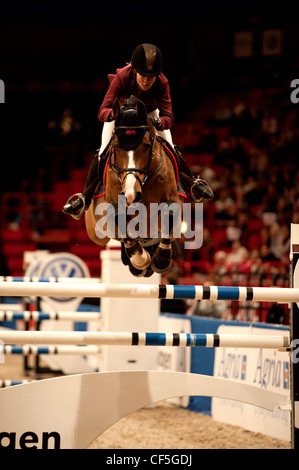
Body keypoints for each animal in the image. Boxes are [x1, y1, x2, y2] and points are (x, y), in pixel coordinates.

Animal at [85, 97, 185, 278]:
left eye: (146, 145)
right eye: (116, 146)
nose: (131, 195)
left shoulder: (175, 200)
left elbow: (171, 211)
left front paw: (161, 260)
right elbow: (117, 215)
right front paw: (140, 260)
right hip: (96, 233)